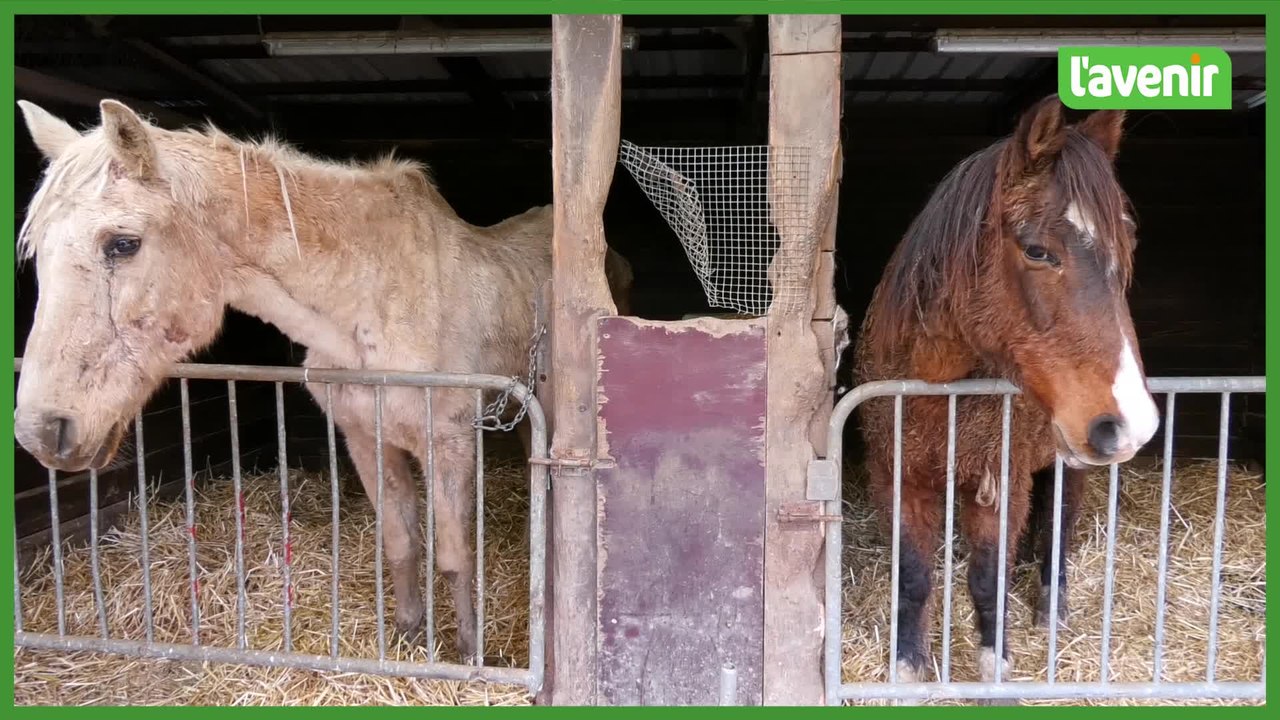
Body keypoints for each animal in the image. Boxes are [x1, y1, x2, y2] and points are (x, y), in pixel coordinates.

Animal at [12, 98, 634, 664]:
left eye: (123, 243)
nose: (42, 431)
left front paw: (470, 653)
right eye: (38, 252)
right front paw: (407, 634)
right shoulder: (365, 438)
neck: (368, 306)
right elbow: (401, 542)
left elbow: (455, 555)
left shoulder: (449, 440)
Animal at [852, 95, 1159, 690]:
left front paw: (995, 662)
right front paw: (908, 664)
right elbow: (913, 574)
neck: (935, 388)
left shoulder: (999, 481)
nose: (1133, 422)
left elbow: (986, 576)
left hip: (1071, 460)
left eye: (1128, 245)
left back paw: (1050, 606)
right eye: (1037, 251)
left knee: (1060, 522)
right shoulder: (895, 475)